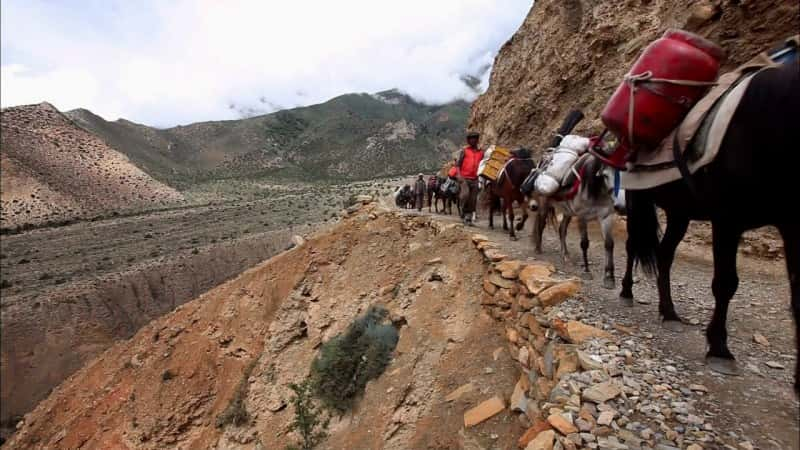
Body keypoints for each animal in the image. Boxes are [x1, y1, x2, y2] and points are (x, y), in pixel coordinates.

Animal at [620, 62, 796, 390]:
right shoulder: (727, 218)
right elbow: (725, 282)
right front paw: (719, 349)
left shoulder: (792, 226)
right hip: (641, 200)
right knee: (633, 245)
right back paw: (626, 292)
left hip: (680, 213)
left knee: (664, 255)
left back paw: (669, 313)